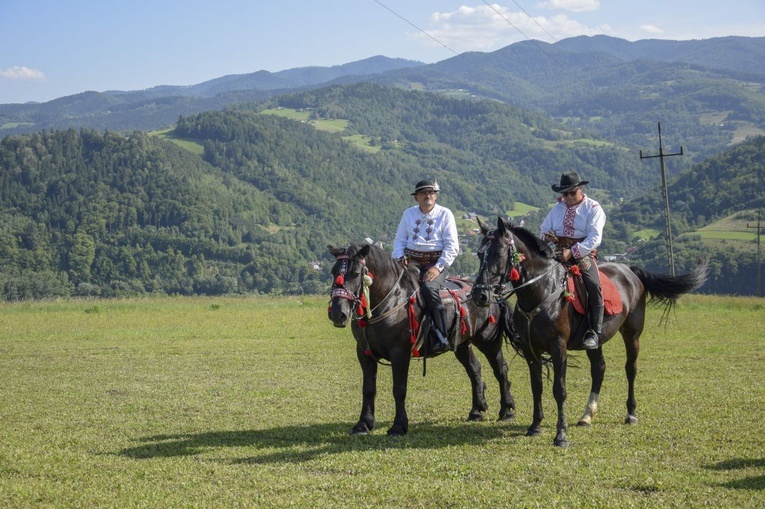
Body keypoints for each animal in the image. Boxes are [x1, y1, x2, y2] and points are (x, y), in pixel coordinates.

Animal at [326, 240, 516, 434]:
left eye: (356, 273)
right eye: (334, 271)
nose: (337, 313)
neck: (390, 301)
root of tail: (491, 294)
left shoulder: (399, 353)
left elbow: (399, 389)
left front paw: (399, 426)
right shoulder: (364, 352)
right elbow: (368, 389)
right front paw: (364, 423)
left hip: (489, 342)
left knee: (501, 369)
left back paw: (506, 410)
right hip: (463, 344)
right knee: (474, 369)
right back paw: (477, 410)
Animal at [468, 216, 708, 446]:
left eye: (498, 253)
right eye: (479, 255)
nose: (480, 295)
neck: (541, 289)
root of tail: (630, 271)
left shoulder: (559, 348)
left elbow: (559, 390)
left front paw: (561, 435)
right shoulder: (530, 350)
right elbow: (536, 386)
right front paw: (535, 426)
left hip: (632, 334)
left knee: (631, 369)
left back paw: (631, 414)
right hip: (595, 340)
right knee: (599, 369)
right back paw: (587, 415)